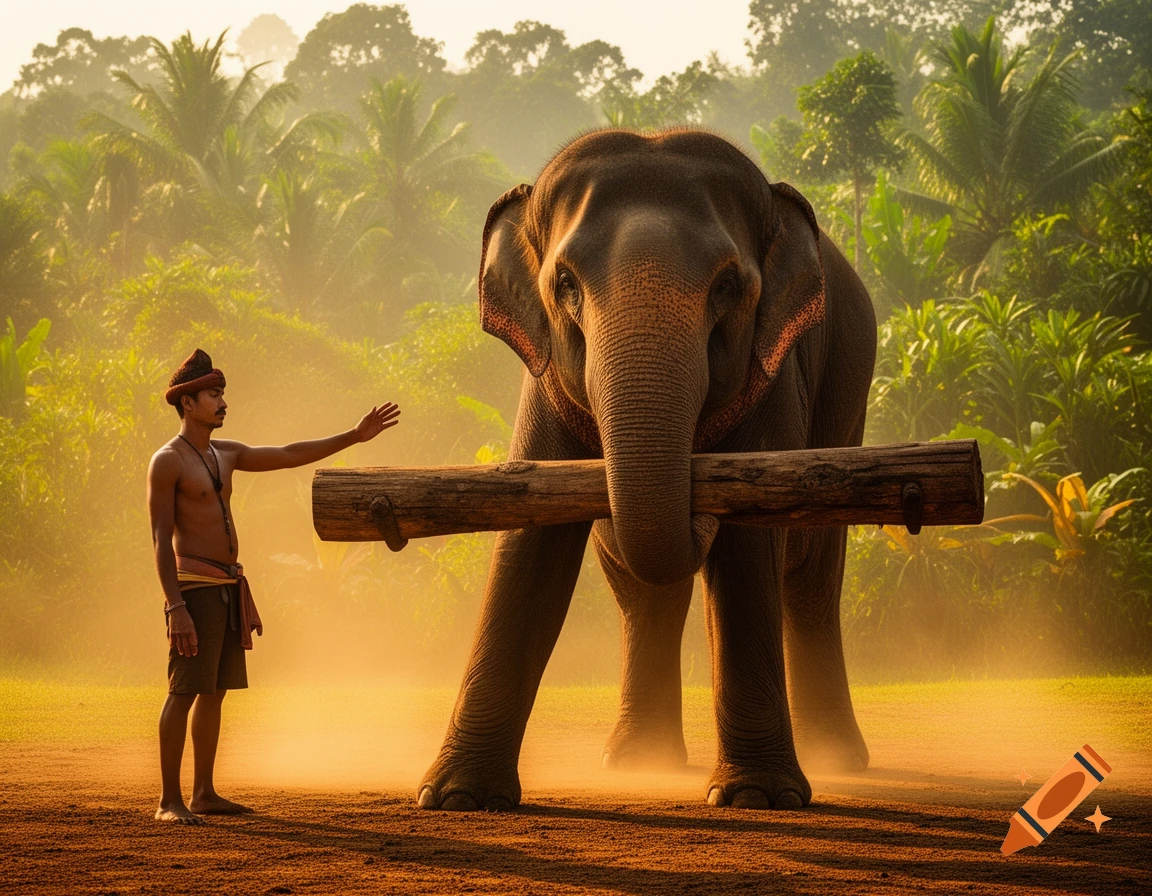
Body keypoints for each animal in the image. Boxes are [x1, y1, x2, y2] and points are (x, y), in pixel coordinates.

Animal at [418, 129, 877, 812]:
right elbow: (529, 544)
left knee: (813, 574)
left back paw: (839, 760)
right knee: (645, 594)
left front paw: (756, 797)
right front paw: (454, 798)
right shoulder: (544, 383)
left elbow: (748, 549)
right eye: (565, 283)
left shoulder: (774, 383)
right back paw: (639, 761)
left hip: (848, 405)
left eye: (729, 286)